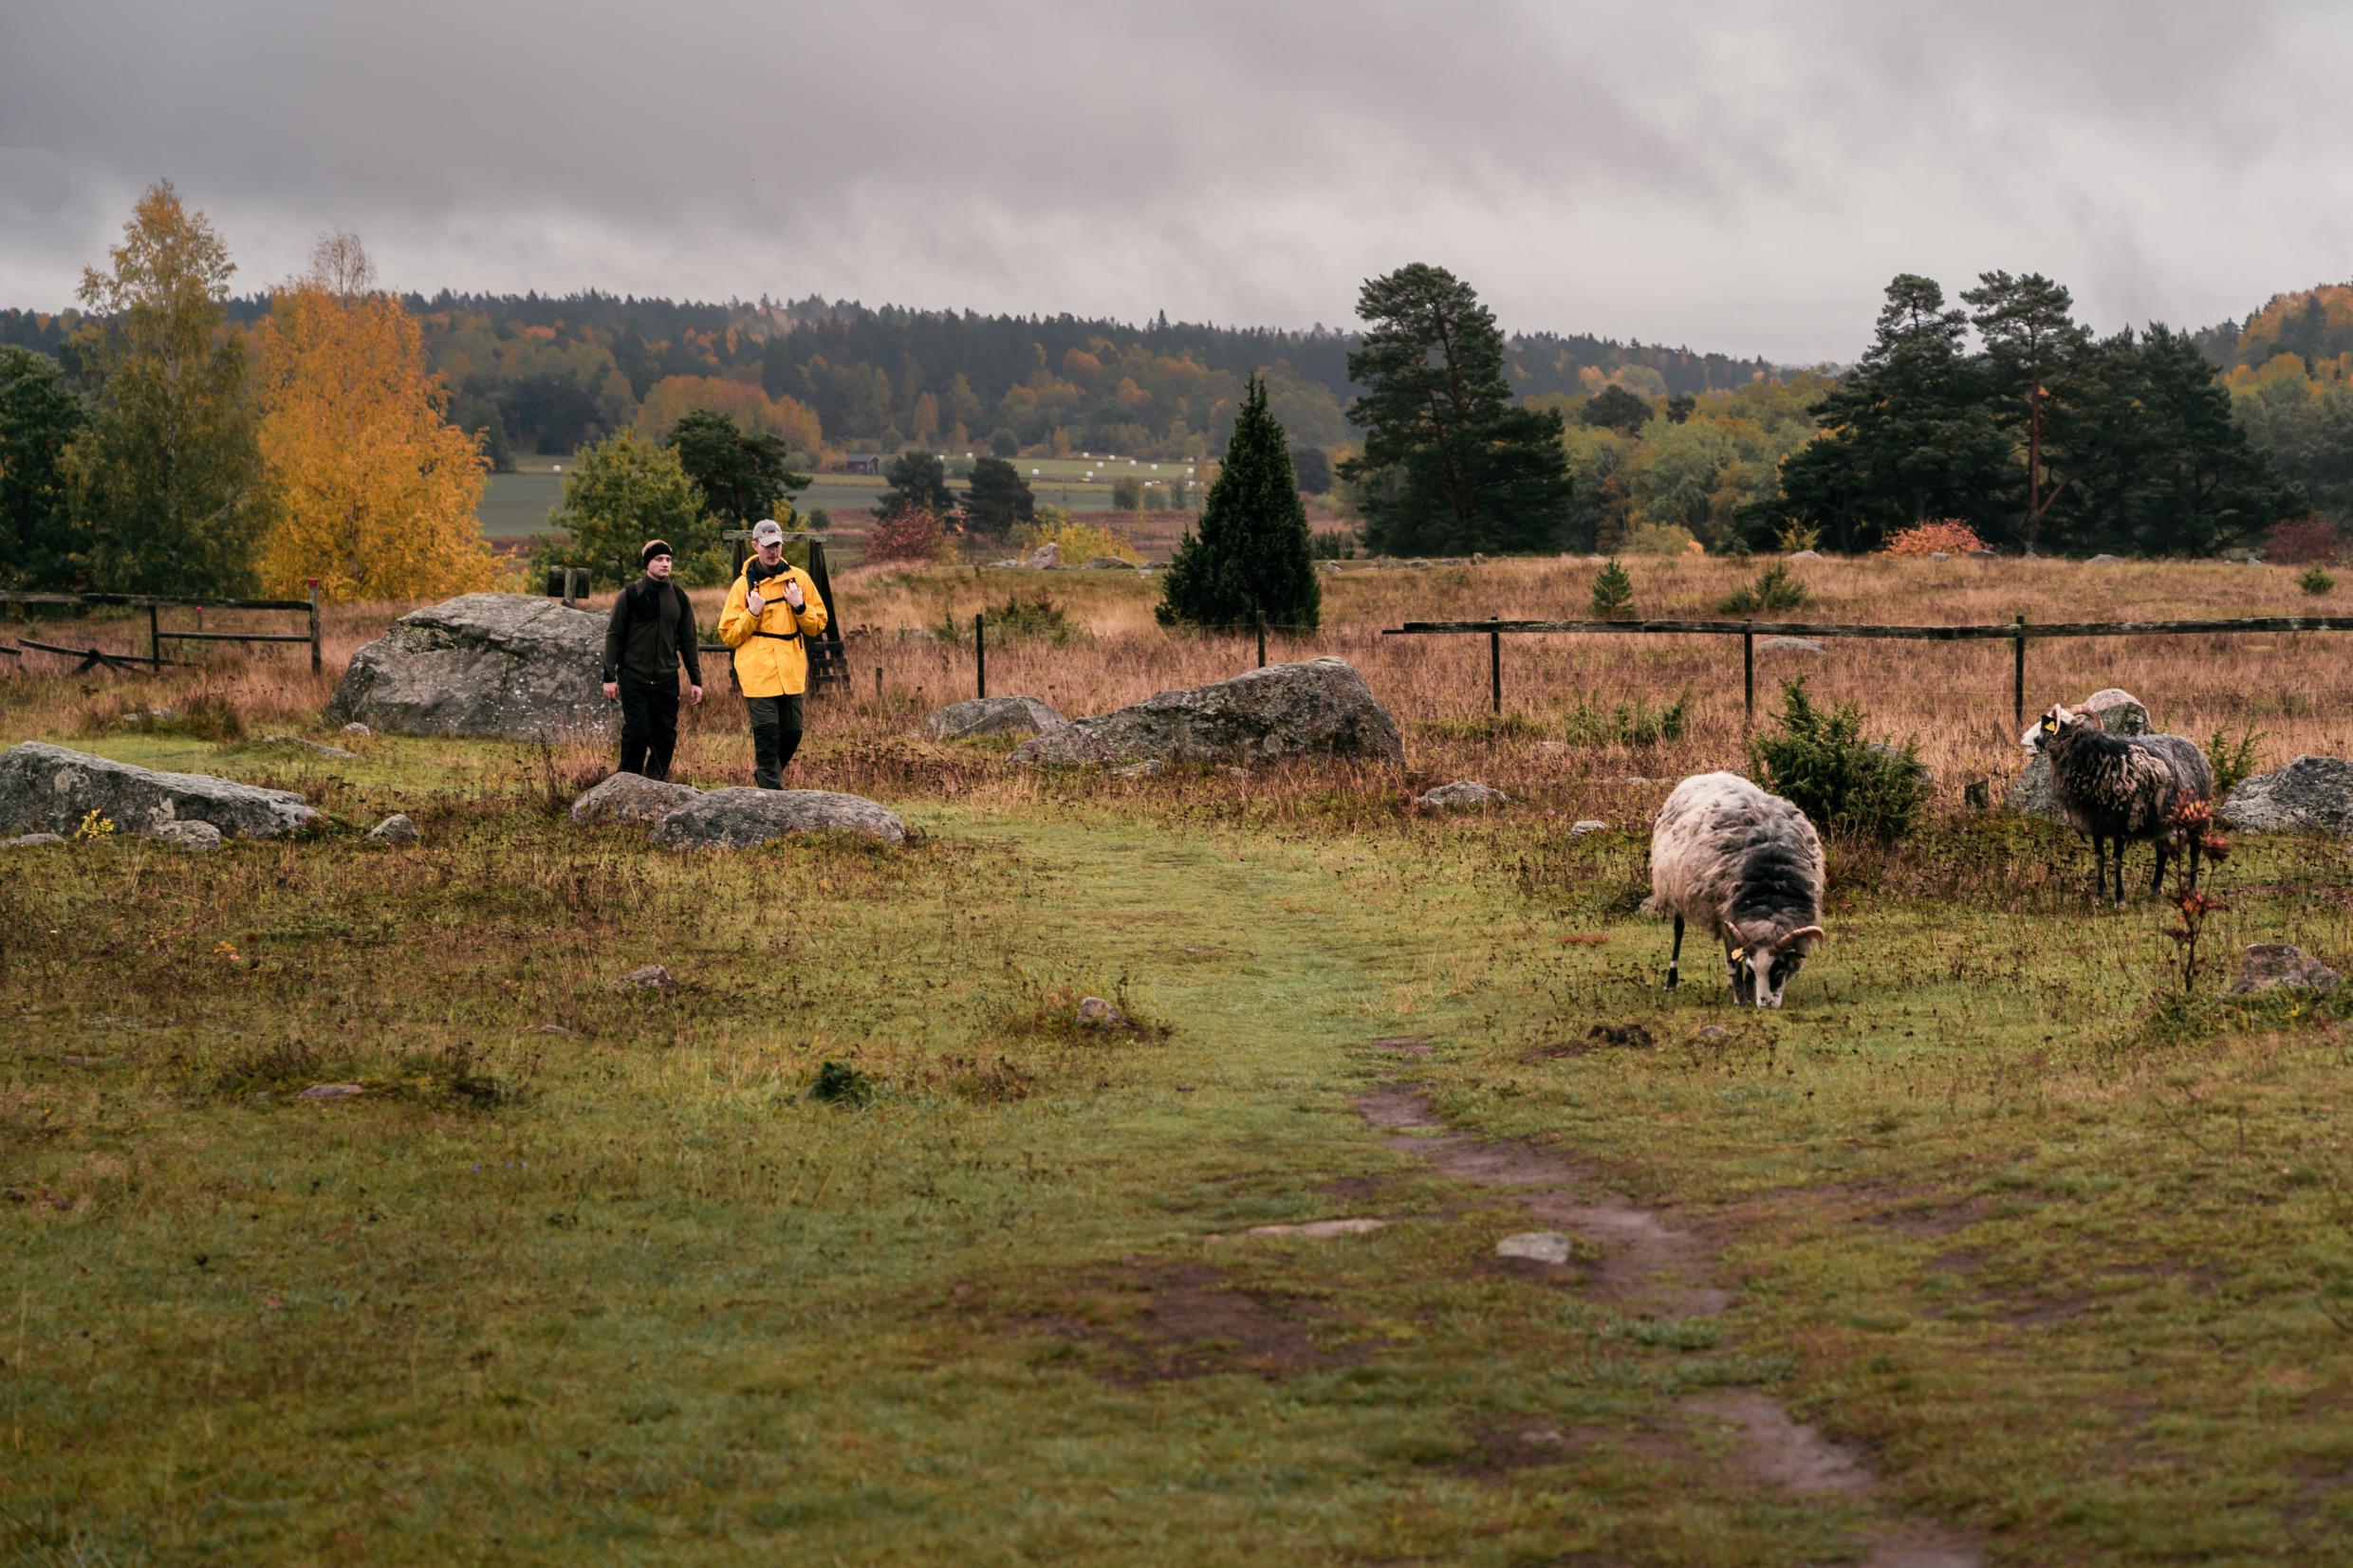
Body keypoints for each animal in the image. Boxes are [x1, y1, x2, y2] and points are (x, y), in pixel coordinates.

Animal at [1650, 772, 1826, 1008]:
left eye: (1780, 969)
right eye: (1753, 968)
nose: (1765, 1004)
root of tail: (1705, 775)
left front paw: (1745, 988)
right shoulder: (1725, 913)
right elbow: (1733, 958)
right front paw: (1740, 995)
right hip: (1674, 887)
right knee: (1679, 930)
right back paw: (1671, 981)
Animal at [2023, 703, 2215, 904]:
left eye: (2046, 725)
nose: (2030, 740)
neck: (2094, 758)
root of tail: (2196, 750)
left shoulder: (2121, 823)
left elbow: (2116, 860)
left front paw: (2120, 899)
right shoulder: (2095, 823)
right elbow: (2099, 858)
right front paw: (2098, 896)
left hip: (2194, 814)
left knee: (2195, 848)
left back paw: (2193, 890)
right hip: (2161, 819)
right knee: (2162, 849)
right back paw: (2155, 889)